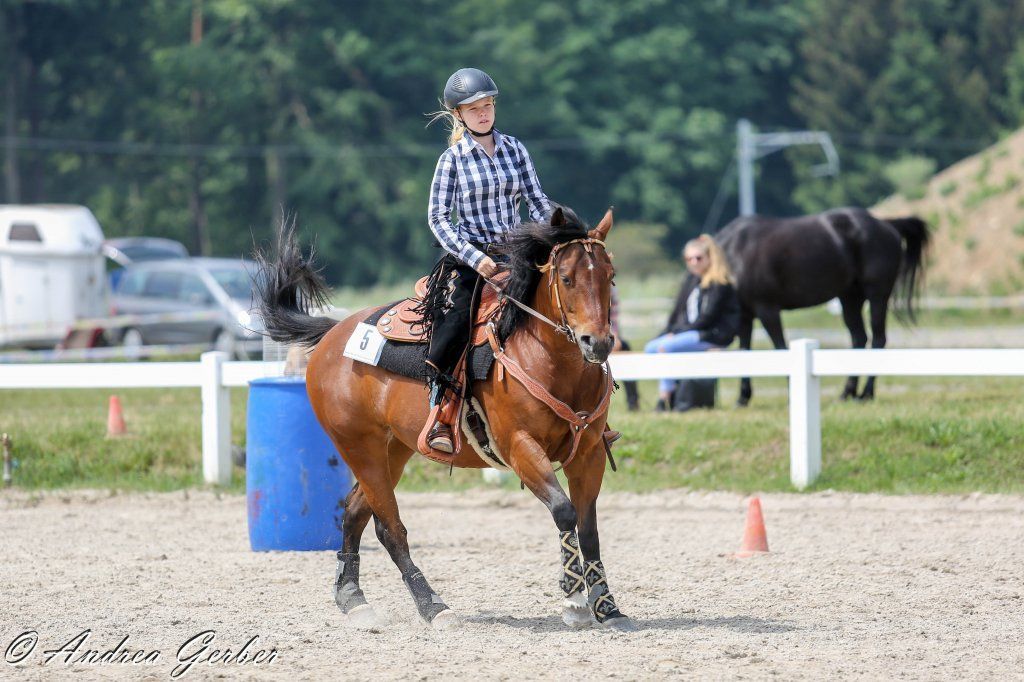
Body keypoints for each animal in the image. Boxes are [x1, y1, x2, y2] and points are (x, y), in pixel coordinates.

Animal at [254, 207, 636, 631]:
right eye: (566, 278)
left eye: (610, 277)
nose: (597, 343)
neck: (545, 358)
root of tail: (333, 334)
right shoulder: (520, 448)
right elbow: (564, 510)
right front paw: (574, 599)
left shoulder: (590, 454)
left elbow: (589, 528)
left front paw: (606, 606)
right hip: (358, 447)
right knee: (390, 529)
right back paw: (433, 606)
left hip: (394, 451)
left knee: (354, 512)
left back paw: (353, 599)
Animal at [716, 207, 929, 405]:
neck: (736, 255)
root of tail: (886, 224)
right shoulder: (744, 315)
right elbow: (745, 351)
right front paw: (743, 397)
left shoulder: (767, 309)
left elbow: (780, 348)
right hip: (850, 297)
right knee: (859, 338)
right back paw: (848, 392)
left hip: (877, 295)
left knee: (878, 338)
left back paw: (866, 394)